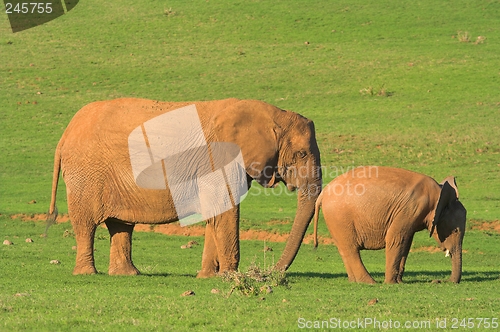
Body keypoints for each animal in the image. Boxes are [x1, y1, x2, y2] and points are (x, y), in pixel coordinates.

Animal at [48, 97, 322, 276]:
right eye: (301, 153)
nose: (269, 273)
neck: (272, 114)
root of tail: (64, 135)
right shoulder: (218, 157)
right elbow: (225, 211)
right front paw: (230, 276)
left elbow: (216, 213)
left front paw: (209, 277)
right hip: (86, 174)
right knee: (86, 224)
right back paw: (87, 274)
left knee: (121, 225)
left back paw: (128, 274)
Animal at [314, 167, 466, 284]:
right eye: (455, 230)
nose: (438, 281)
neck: (439, 194)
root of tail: (322, 194)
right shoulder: (410, 210)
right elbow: (395, 239)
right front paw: (391, 283)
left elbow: (406, 243)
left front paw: (399, 282)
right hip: (340, 218)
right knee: (351, 249)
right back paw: (370, 282)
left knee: (344, 249)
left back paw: (355, 281)